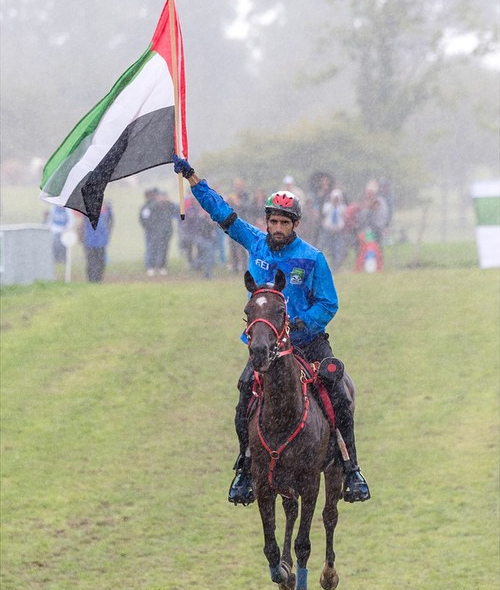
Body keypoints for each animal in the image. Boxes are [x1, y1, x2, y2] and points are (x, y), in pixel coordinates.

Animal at [241, 270, 352, 590]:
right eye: (248, 311)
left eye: (281, 311)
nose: (259, 352)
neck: (283, 417)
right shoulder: (264, 483)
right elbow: (271, 547)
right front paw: (283, 571)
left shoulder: (309, 481)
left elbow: (304, 543)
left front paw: (301, 574)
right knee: (291, 512)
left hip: (334, 468)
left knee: (330, 516)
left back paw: (329, 574)